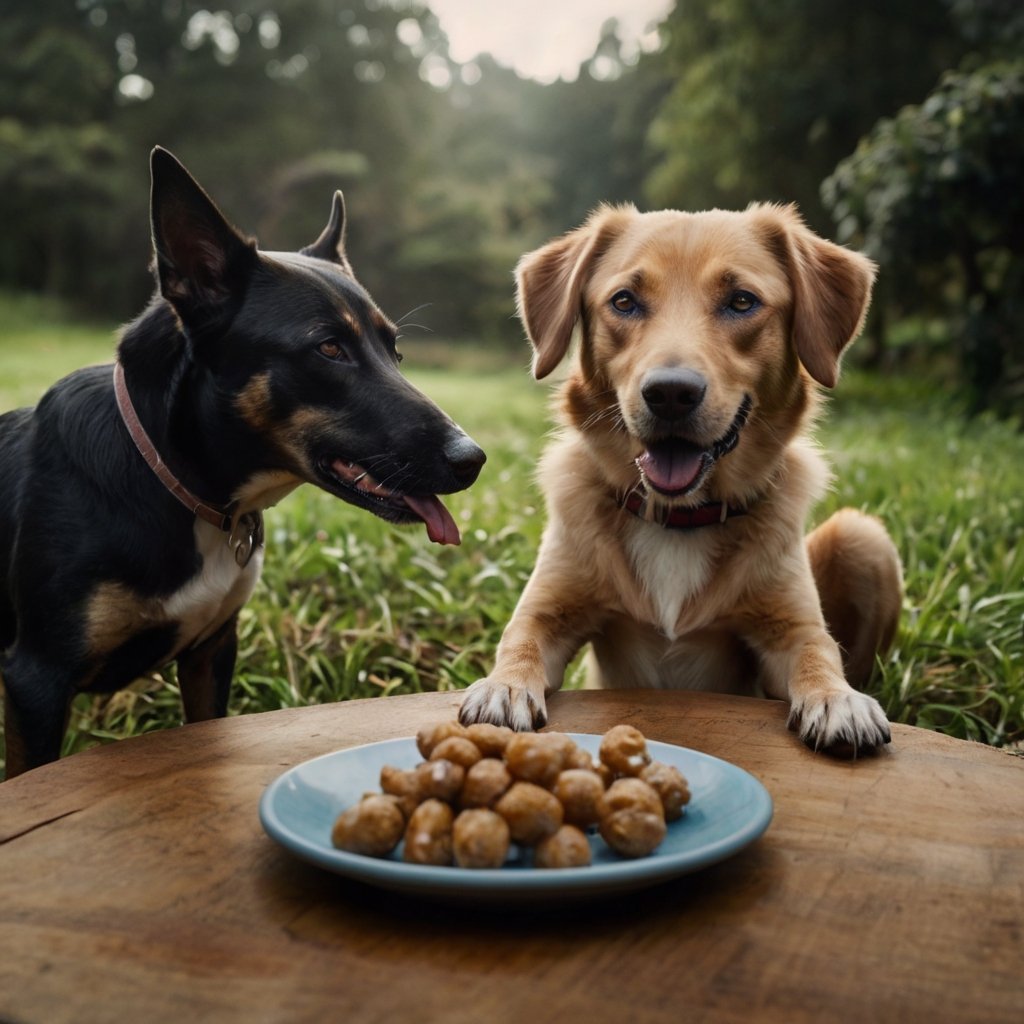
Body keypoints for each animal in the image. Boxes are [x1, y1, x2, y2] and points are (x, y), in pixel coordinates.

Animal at [0, 149, 485, 774]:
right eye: (329, 348)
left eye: (395, 351)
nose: (472, 460)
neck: (172, 478)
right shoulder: (36, 680)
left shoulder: (211, 652)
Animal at [460, 203, 901, 757]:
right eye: (624, 301)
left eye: (741, 301)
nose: (670, 393)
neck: (679, 519)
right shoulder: (549, 610)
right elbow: (519, 640)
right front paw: (503, 686)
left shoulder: (790, 630)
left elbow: (818, 653)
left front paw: (836, 698)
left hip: (862, 537)